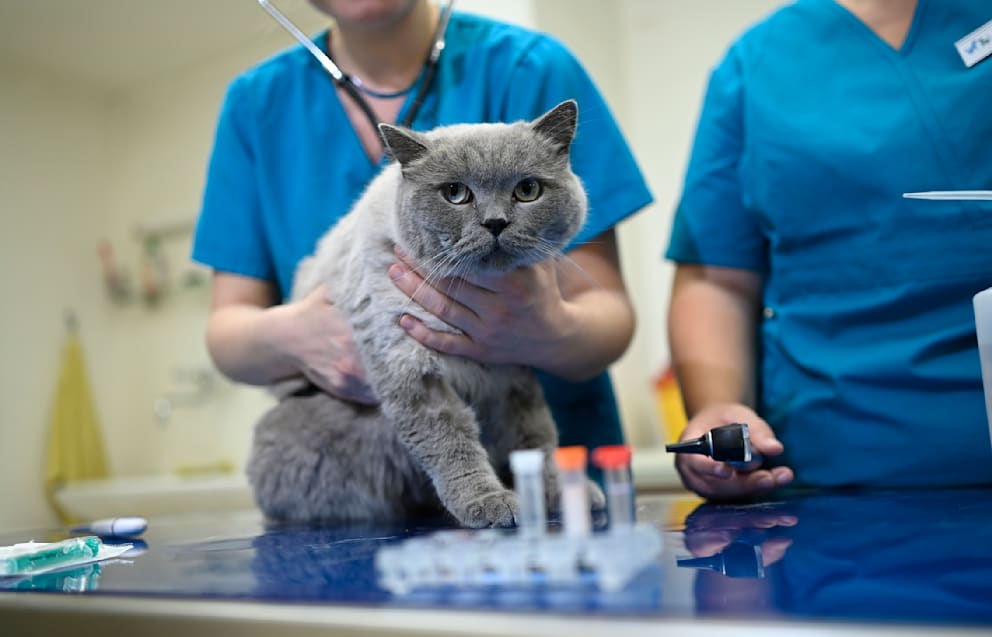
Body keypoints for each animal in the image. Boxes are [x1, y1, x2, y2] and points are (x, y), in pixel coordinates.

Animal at [246, 99, 604, 528]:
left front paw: (560, 495)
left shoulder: (513, 369)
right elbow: (450, 443)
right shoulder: (411, 367)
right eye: (455, 193)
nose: (495, 223)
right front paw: (489, 503)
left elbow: (537, 438)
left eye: (528, 190)